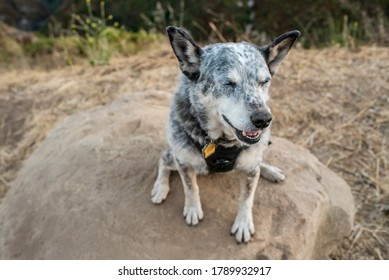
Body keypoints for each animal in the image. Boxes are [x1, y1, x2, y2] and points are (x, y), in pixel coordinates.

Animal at [150, 26, 298, 243]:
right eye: (228, 83)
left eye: (264, 81)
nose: (264, 119)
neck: (221, 142)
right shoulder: (184, 163)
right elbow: (191, 187)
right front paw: (193, 209)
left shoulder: (250, 169)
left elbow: (247, 197)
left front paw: (243, 223)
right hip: (174, 155)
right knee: (163, 159)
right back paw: (160, 188)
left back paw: (270, 170)